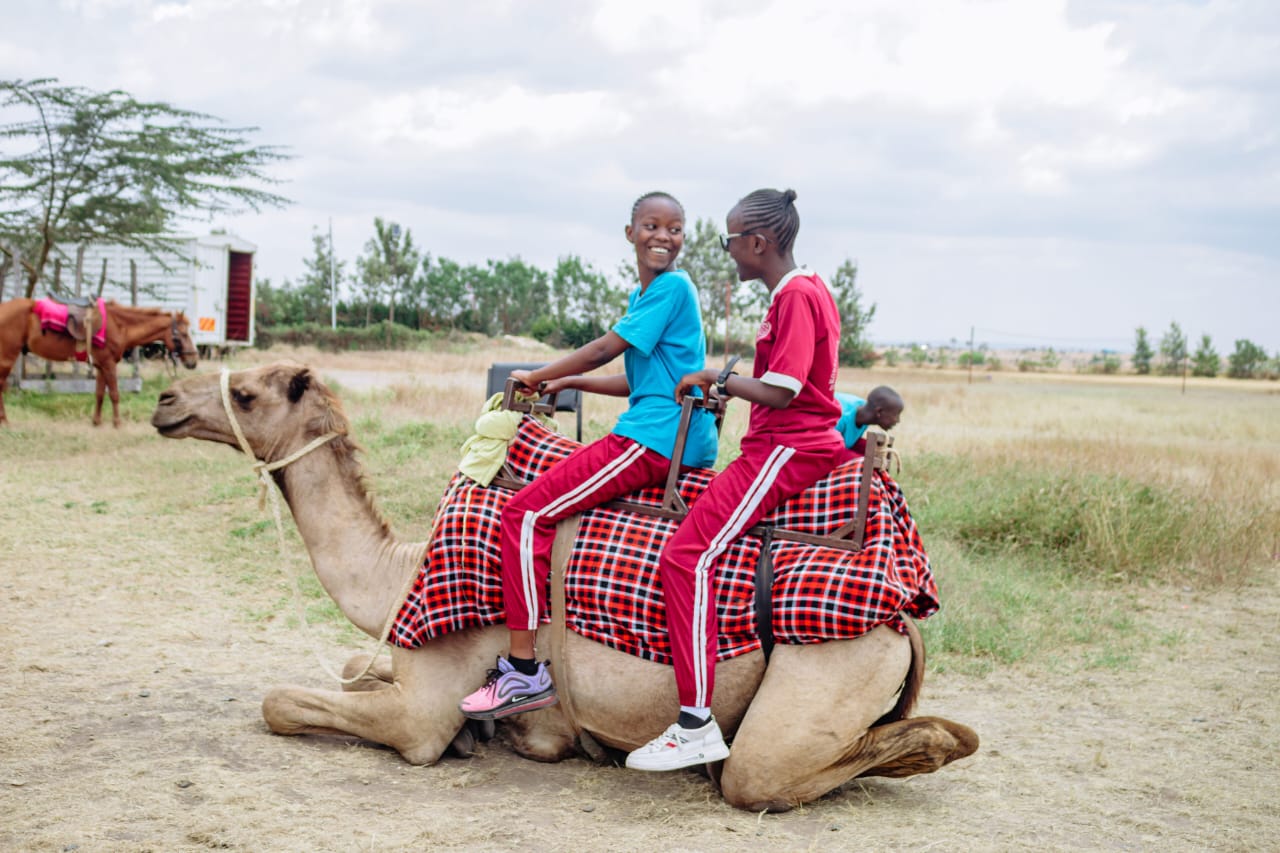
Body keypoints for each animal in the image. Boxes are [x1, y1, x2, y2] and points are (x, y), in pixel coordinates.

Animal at [0, 298, 199, 427]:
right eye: (183, 334)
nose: (193, 361)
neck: (119, 325)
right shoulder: (109, 364)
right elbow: (115, 394)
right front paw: (117, 423)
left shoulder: (101, 365)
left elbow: (100, 394)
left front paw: (96, 421)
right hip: (7, 357)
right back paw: (5, 421)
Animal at [150, 362, 978, 812]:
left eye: (249, 394)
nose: (164, 399)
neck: (399, 569)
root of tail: (904, 615)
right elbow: (358, 663)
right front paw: (501, 732)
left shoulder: (420, 713)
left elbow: (283, 702)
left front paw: (483, 737)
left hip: (826, 672)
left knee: (775, 769)